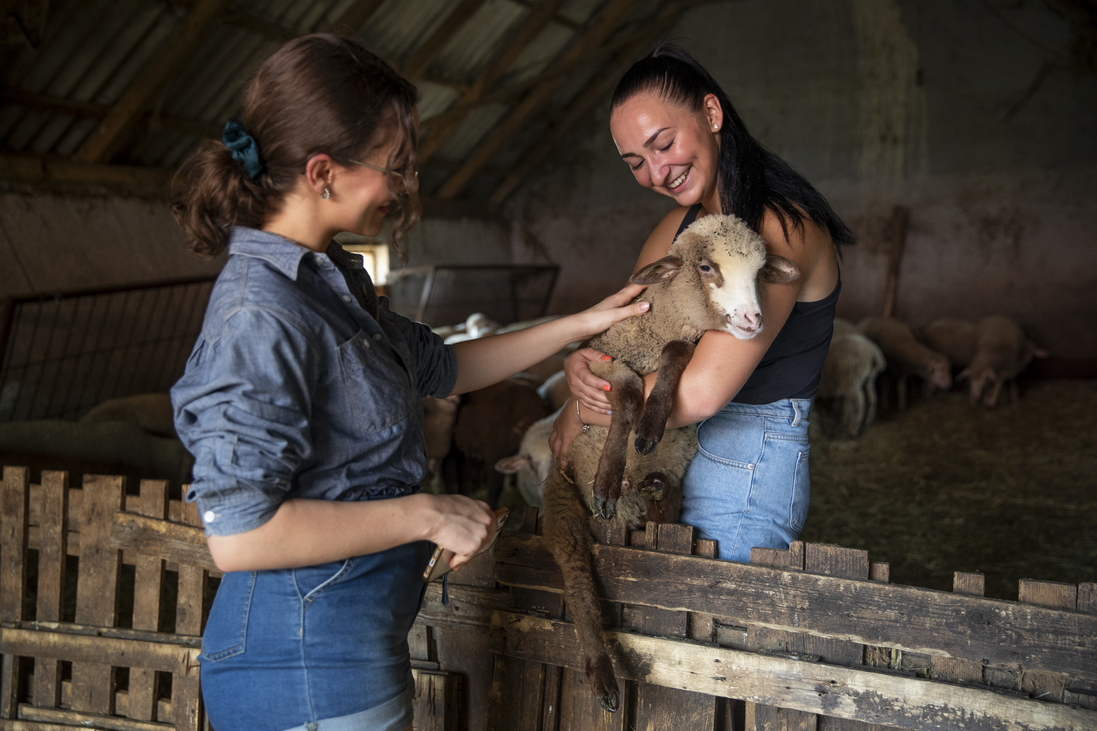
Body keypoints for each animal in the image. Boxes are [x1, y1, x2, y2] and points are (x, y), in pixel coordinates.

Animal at [546, 211, 798, 711]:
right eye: (705, 267)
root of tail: (632, 517)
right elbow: (626, 392)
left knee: (665, 515)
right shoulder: (600, 363)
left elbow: (675, 354)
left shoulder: (686, 345)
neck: (658, 324)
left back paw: (656, 488)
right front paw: (609, 476)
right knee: (578, 579)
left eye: (760, 272)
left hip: (670, 509)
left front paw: (652, 423)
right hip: (561, 499)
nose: (752, 319)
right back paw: (602, 677)